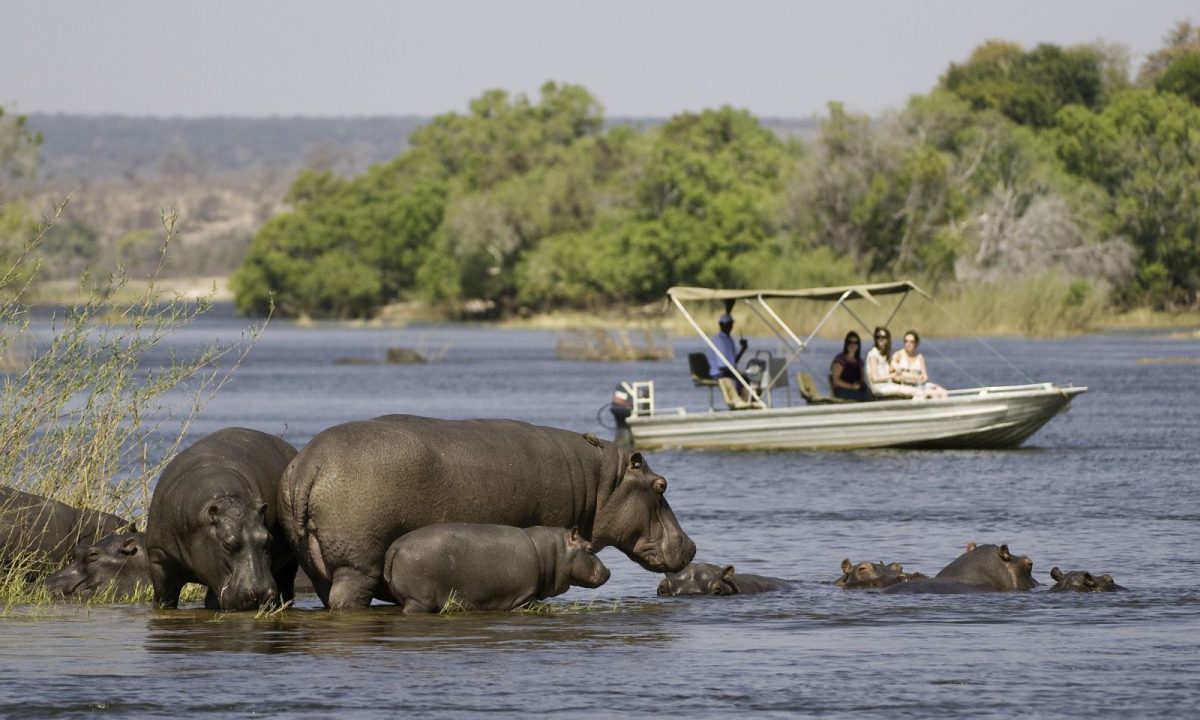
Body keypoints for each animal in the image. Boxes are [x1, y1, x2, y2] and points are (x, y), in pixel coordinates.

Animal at [143, 429, 300, 609]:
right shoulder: (159, 559)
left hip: (290, 565)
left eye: (268, 539)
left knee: (287, 586)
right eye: (227, 544)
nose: (260, 593)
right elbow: (164, 597)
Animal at [384, 523, 609, 612]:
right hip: (419, 600)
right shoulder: (525, 595)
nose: (608, 572)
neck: (553, 552)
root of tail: (395, 546)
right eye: (590, 547)